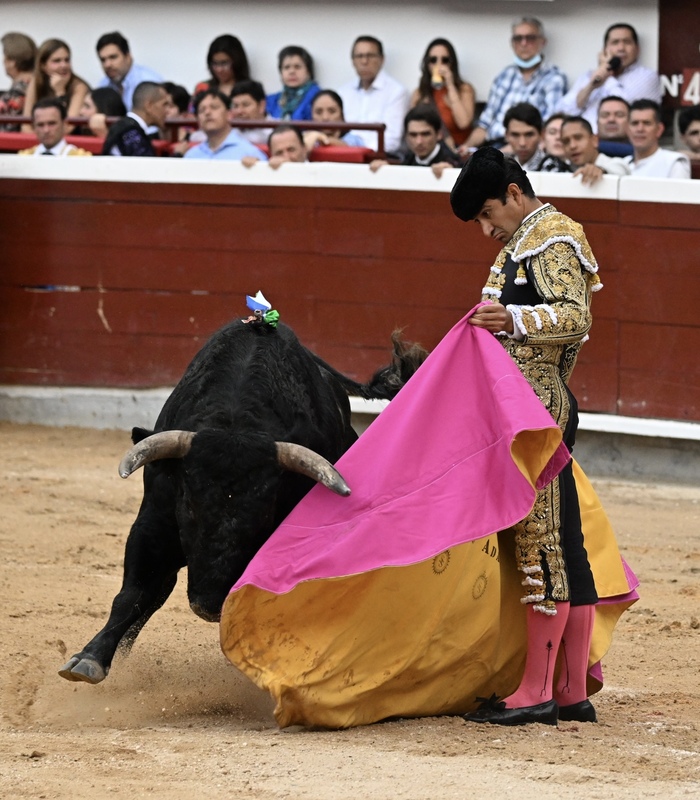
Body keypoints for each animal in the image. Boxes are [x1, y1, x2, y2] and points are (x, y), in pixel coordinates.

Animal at [59, 313, 426, 684]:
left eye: (265, 514)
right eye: (188, 505)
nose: (209, 605)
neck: (235, 420)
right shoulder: (153, 522)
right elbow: (135, 592)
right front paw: (89, 659)